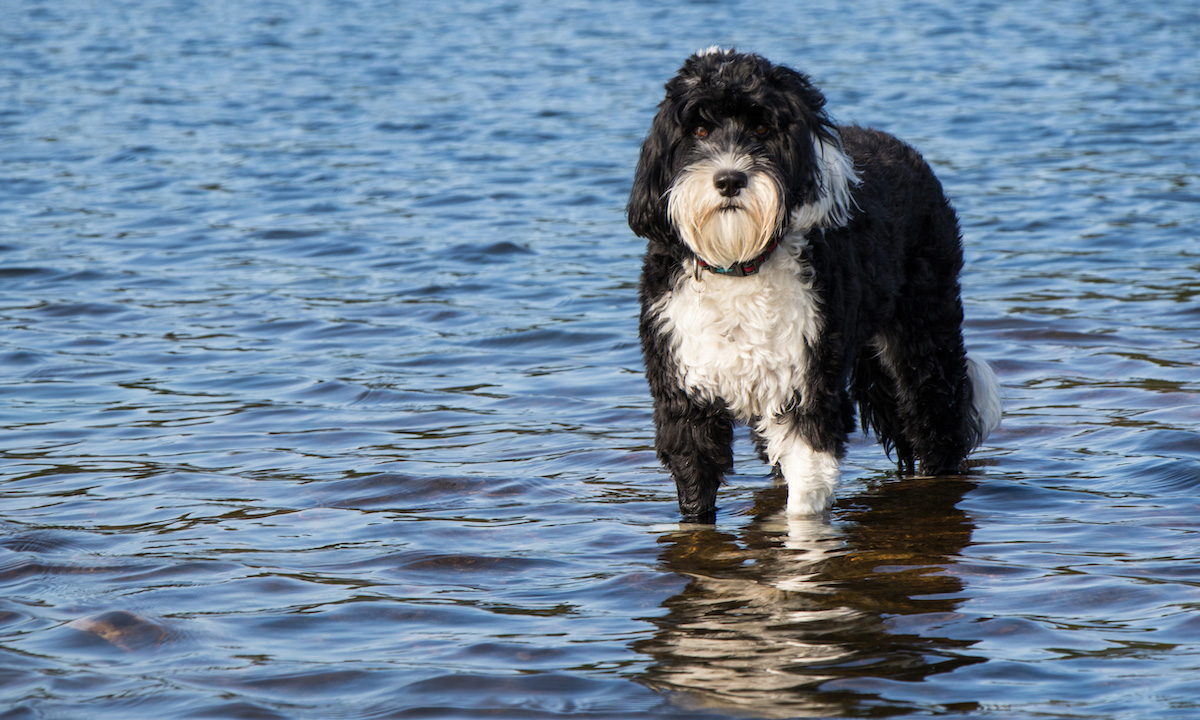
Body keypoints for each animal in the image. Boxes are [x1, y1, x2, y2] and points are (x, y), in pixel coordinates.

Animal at [628, 50, 1003, 523]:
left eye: (763, 129)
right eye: (698, 130)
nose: (729, 180)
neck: (740, 263)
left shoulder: (807, 390)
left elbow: (804, 499)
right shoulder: (686, 399)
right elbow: (696, 488)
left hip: (923, 334)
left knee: (937, 417)